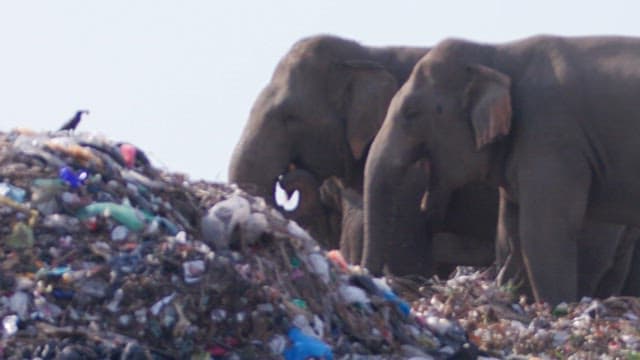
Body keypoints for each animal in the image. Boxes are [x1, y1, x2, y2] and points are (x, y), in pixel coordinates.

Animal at [364, 35, 640, 304]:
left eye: (411, 112)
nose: (381, 282)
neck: (497, 53)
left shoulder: (553, 140)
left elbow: (543, 232)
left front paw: (557, 309)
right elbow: (509, 233)